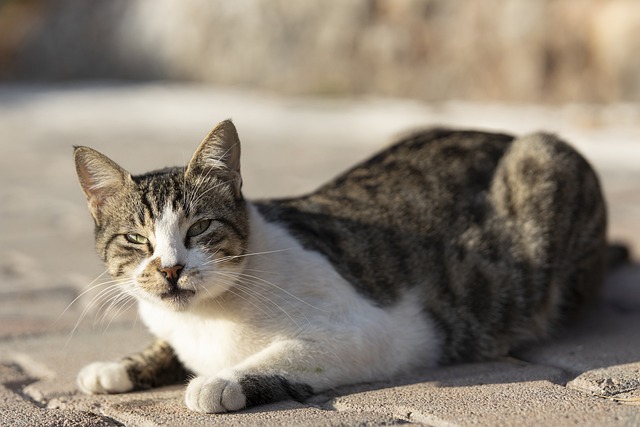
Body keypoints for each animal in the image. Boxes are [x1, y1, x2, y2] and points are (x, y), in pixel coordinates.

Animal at [74, 118, 604, 412]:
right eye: (136, 239)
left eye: (200, 228)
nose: (170, 269)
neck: (205, 319)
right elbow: (164, 347)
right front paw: (117, 367)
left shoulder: (375, 332)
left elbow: (285, 356)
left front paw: (221, 382)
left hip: (544, 159)